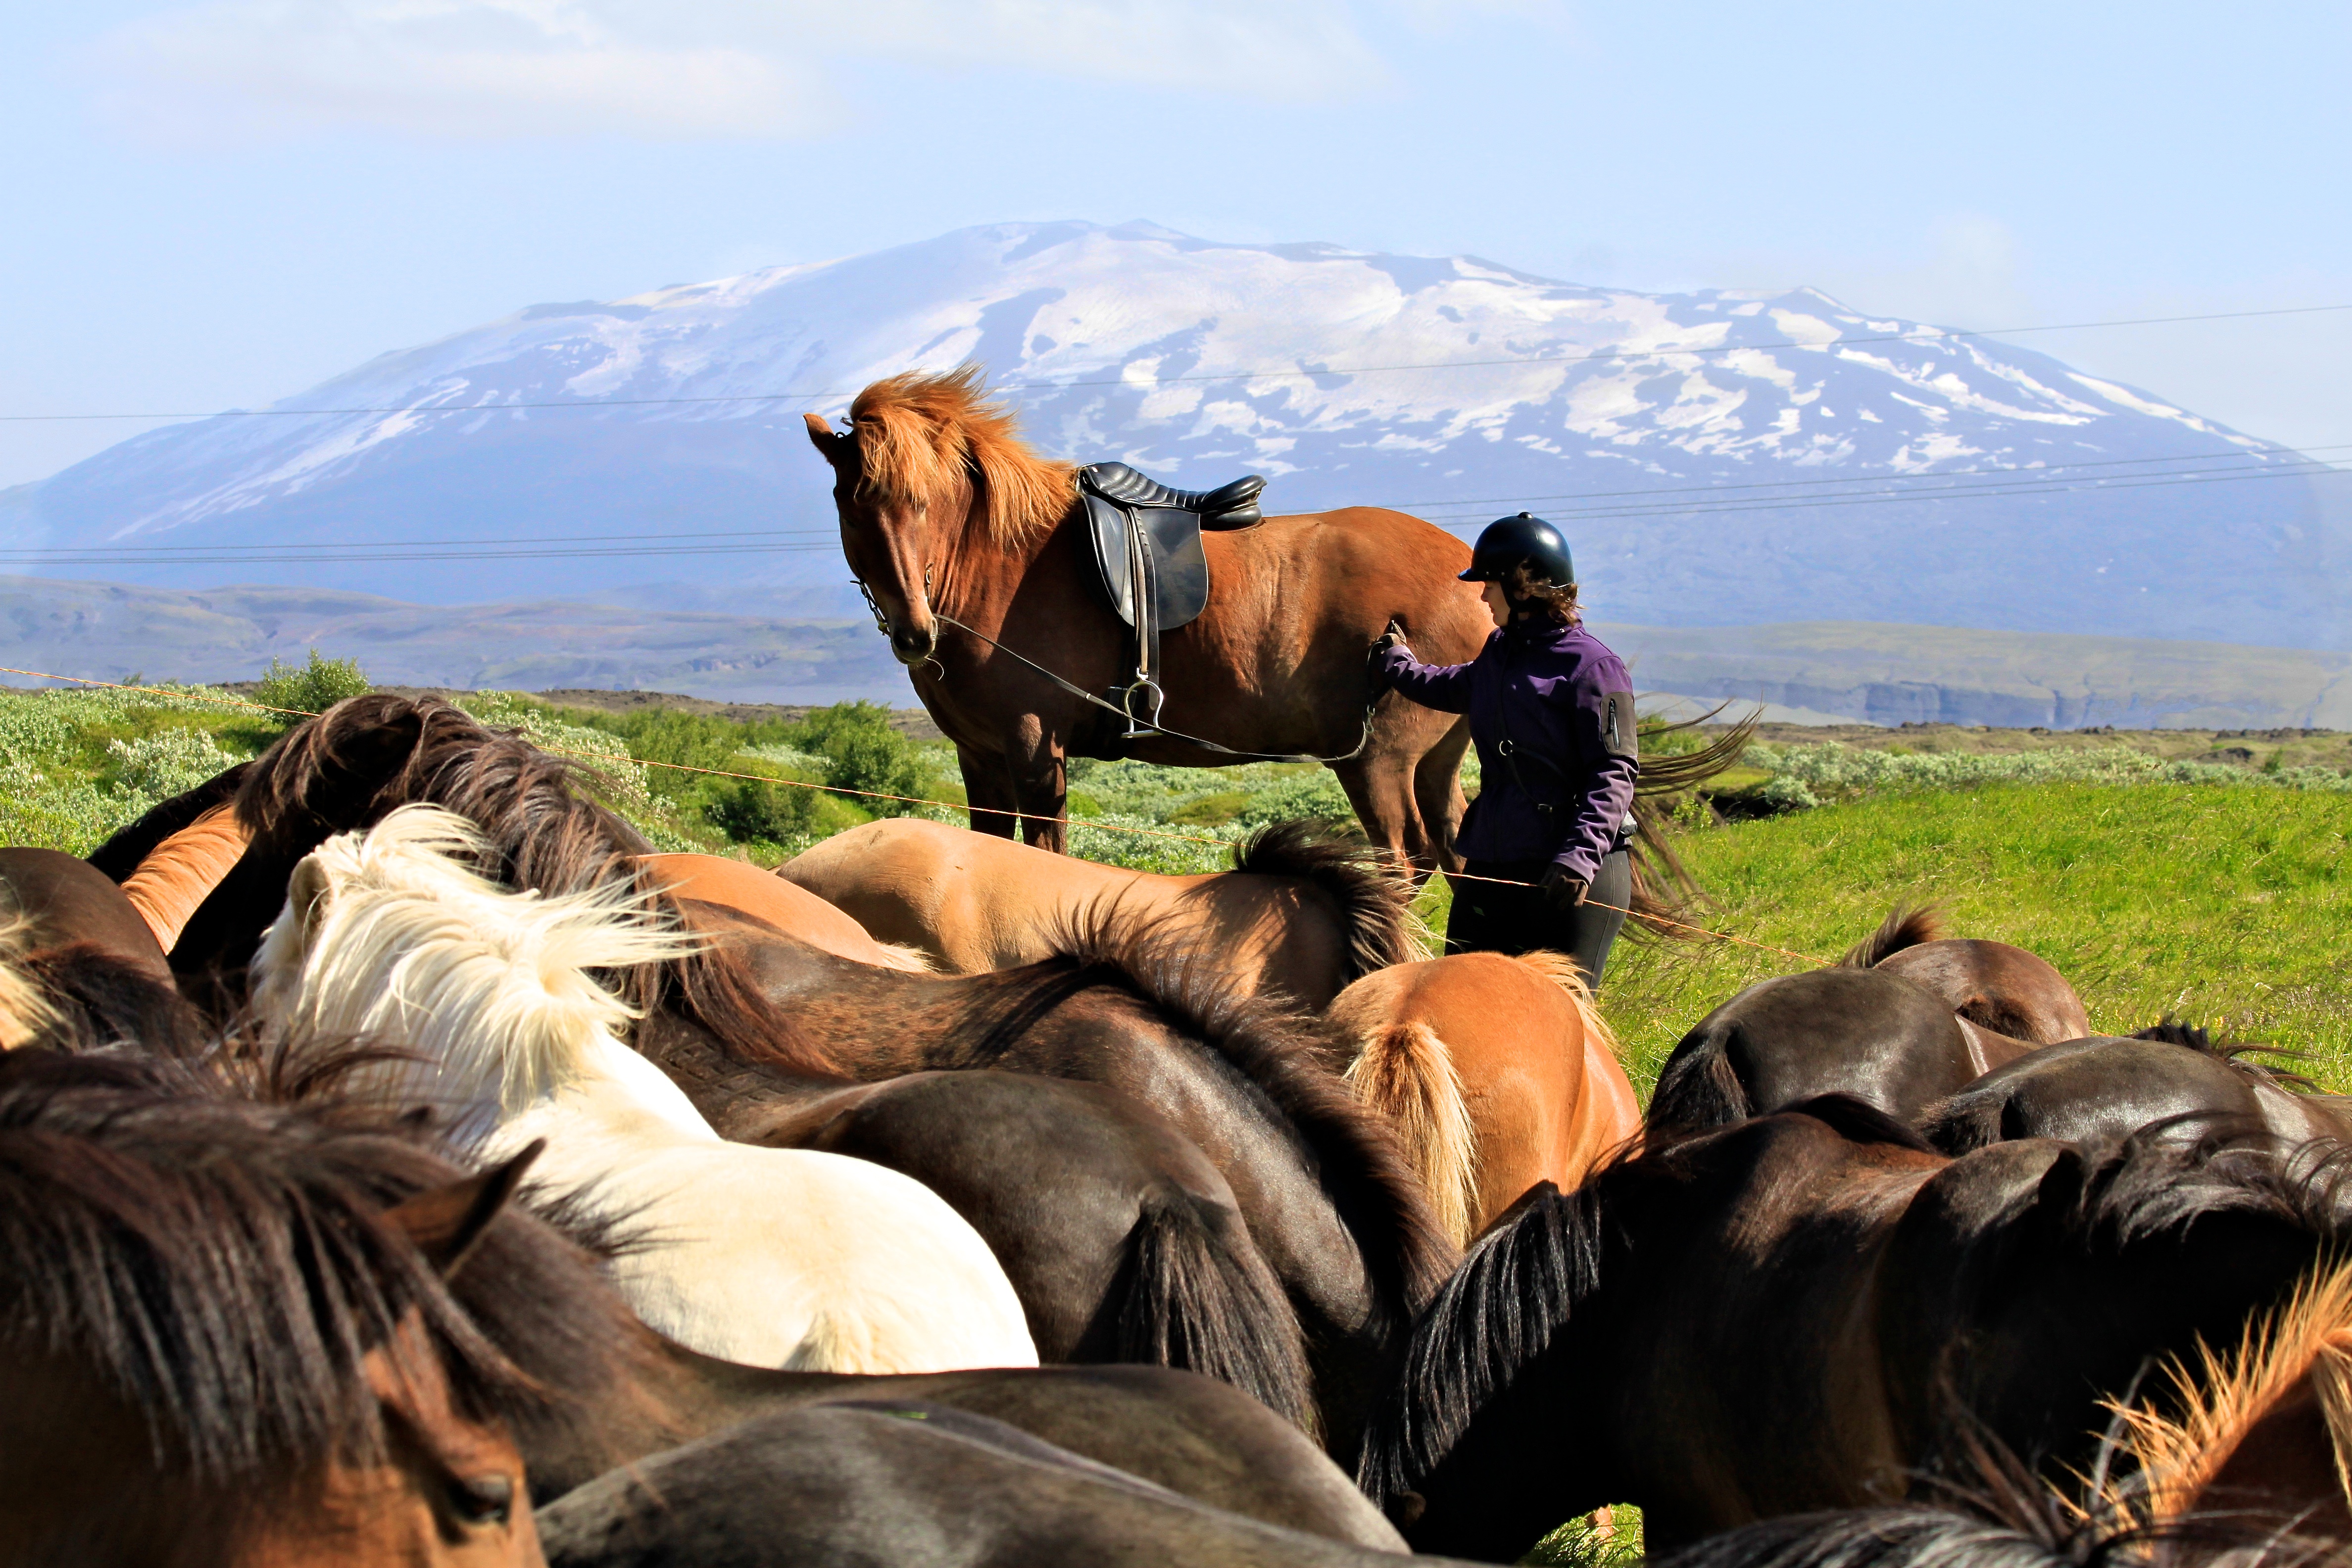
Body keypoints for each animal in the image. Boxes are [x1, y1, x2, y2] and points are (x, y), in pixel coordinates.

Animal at [809, 371, 1486, 883]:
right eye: (851, 504)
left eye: (926, 502)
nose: (914, 634)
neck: (996, 564)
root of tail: (1468, 572)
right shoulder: (981, 757)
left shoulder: (1034, 749)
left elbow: (1044, 857)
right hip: (1434, 761)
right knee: (1458, 854)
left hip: (1378, 762)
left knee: (1405, 864)